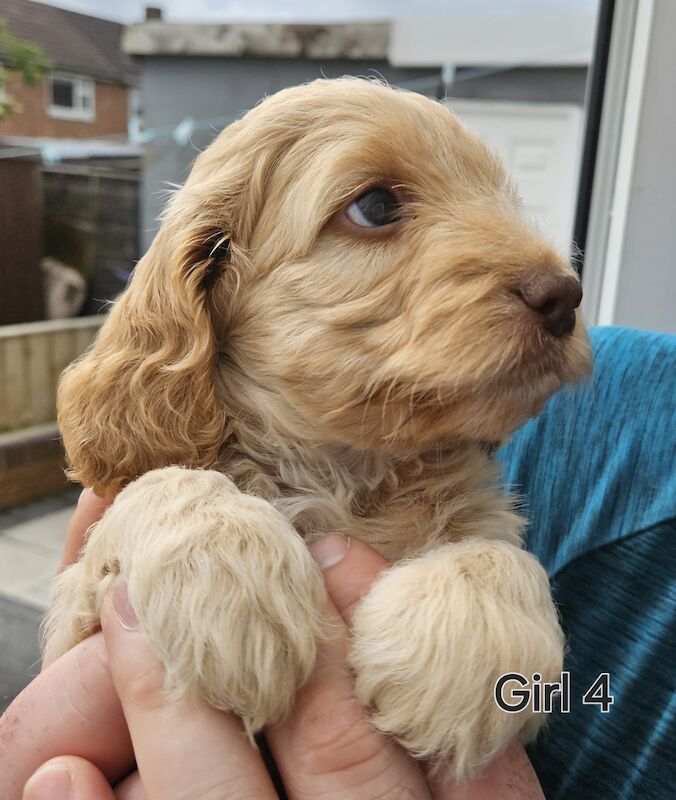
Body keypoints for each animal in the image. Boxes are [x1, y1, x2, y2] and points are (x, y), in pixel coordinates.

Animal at [45, 79, 588, 780]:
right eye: (377, 206)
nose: (565, 296)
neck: (347, 471)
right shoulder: (74, 627)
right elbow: (167, 481)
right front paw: (233, 582)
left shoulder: (481, 513)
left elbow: (502, 553)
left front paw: (461, 665)